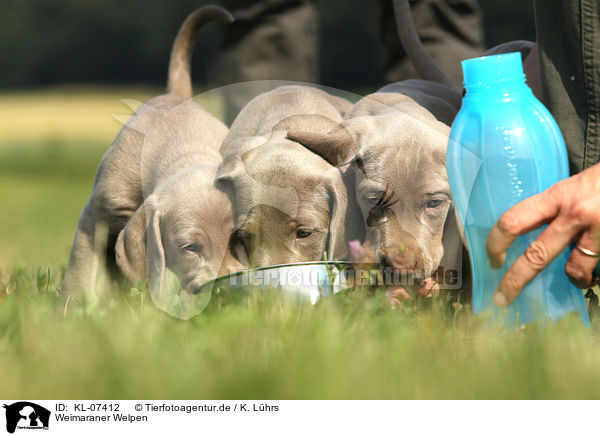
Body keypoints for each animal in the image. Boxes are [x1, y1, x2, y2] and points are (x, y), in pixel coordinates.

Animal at [62, 6, 238, 298]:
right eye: (190, 248)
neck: (185, 150)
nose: (224, 291)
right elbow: (82, 269)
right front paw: (74, 304)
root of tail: (178, 96)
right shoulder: (96, 214)